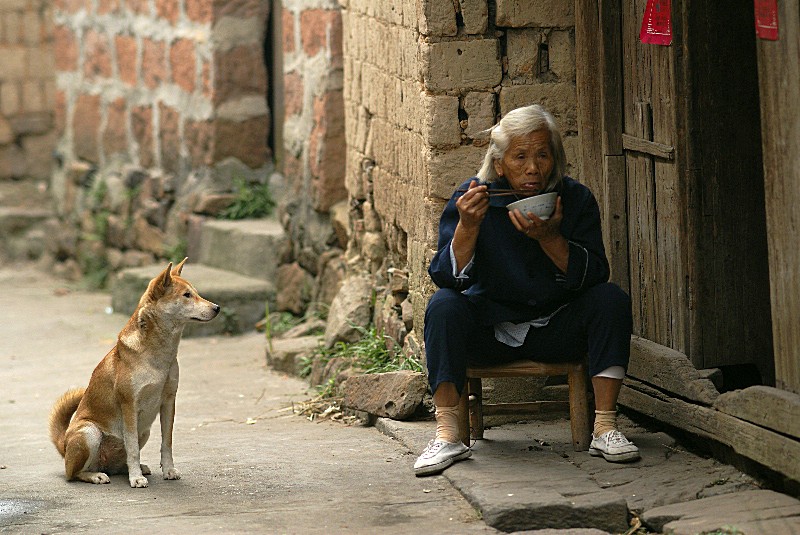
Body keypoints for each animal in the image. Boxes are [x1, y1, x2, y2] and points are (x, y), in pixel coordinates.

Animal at [49, 258, 219, 488]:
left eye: (196, 293)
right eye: (186, 295)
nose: (217, 308)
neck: (158, 355)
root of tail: (64, 445)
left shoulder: (168, 401)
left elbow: (166, 443)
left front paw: (168, 470)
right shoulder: (129, 405)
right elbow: (132, 449)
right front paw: (136, 478)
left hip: (144, 431)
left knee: (115, 465)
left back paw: (131, 469)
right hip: (90, 433)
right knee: (73, 473)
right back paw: (96, 475)